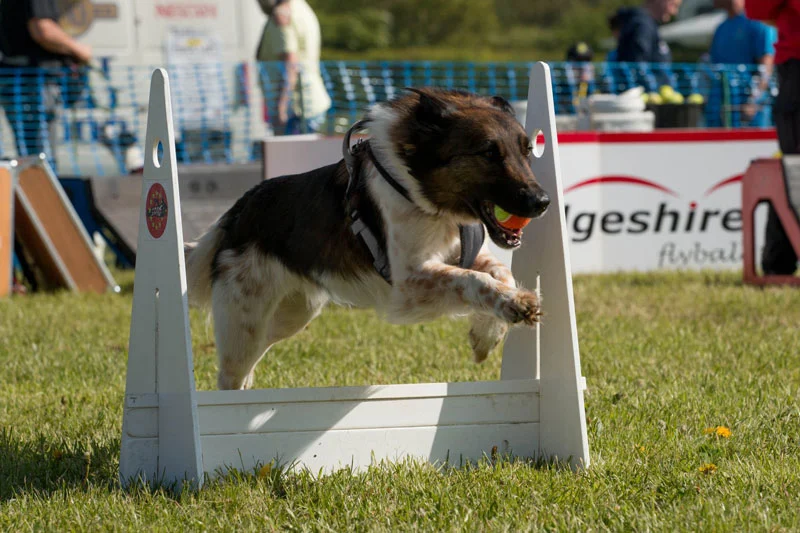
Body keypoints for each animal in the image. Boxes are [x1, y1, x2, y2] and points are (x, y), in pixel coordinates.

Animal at [186, 86, 552, 386]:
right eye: (489, 153)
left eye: (528, 150)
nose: (543, 202)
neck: (419, 190)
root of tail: (236, 212)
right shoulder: (408, 286)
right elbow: (472, 280)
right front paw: (512, 305)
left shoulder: (460, 255)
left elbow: (500, 272)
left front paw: (488, 332)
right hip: (244, 323)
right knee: (230, 375)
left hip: (293, 313)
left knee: (254, 361)